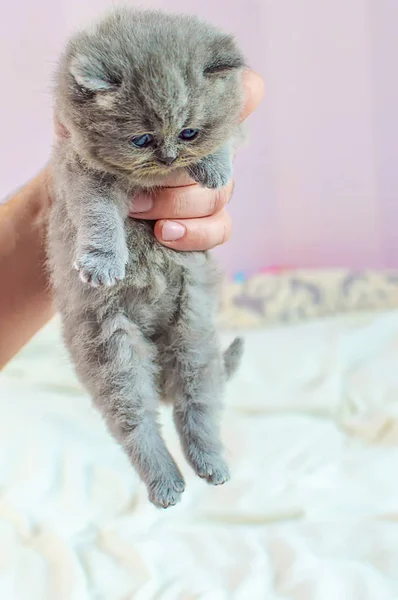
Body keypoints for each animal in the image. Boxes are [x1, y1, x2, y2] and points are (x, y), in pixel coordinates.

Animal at [48, 7, 244, 508]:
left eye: (189, 132)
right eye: (141, 140)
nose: (170, 156)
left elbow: (226, 141)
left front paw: (215, 166)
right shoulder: (83, 175)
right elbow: (99, 217)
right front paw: (102, 262)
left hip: (194, 338)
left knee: (195, 409)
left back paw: (211, 465)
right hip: (114, 352)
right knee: (137, 426)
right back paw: (167, 483)